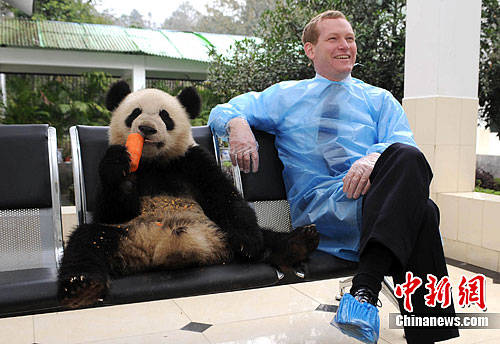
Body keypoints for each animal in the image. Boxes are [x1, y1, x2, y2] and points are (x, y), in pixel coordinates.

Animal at [56, 81, 318, 310]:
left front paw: (248, 242)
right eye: (135, 113)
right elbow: (111, 210)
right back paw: (82, 287)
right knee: (86, 242)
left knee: (267, 237)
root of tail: (159, 250)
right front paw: (118, 166)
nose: (146, 129)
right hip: (123, 234)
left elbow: (224, 196)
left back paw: (297, 242)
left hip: (219, 230)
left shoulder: (192, 162)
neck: (153, 162)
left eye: (165, 116)